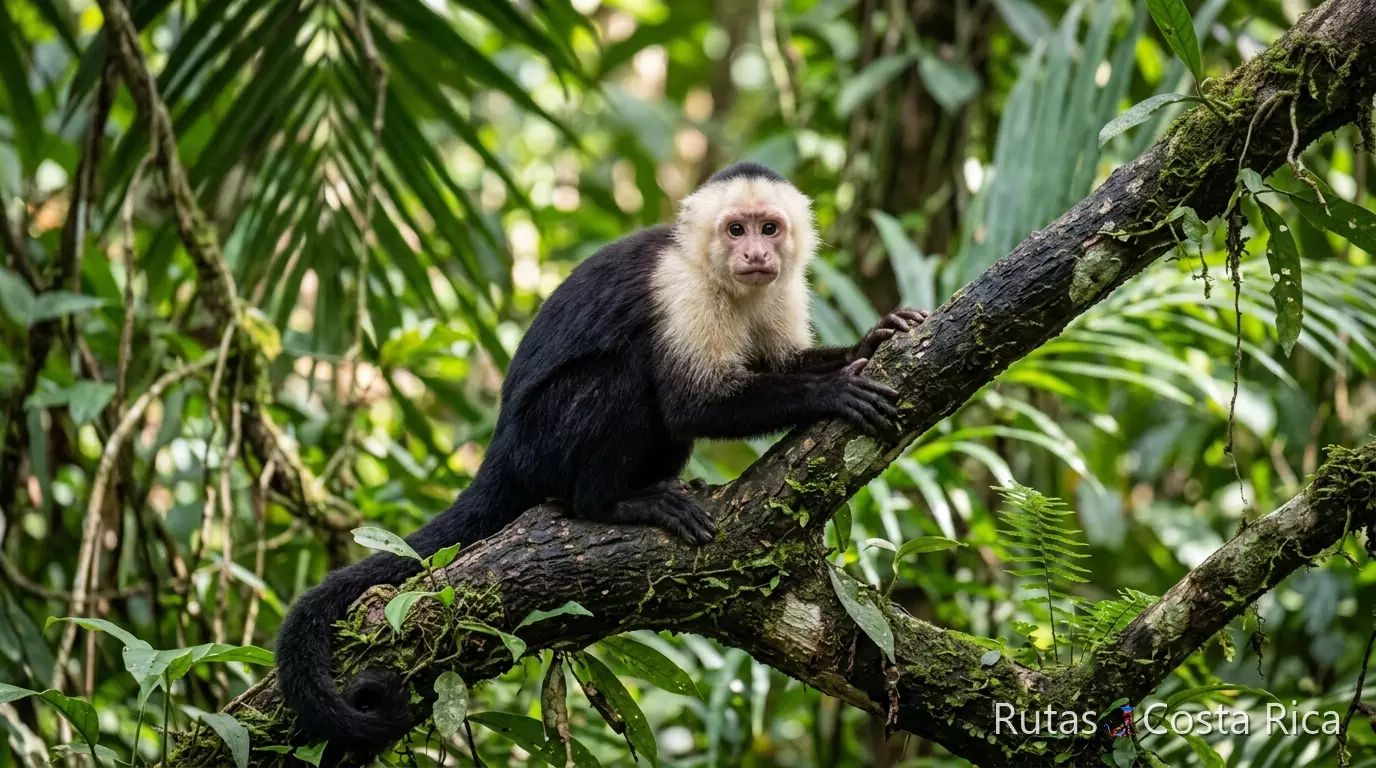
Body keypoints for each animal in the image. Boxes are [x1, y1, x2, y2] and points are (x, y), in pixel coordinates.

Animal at [275, 162, 929, 756]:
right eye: (735, 229)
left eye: (770, 228)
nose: (755, 254)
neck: (719, 276)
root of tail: (502, 451)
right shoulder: (680, 289)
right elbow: (693, 402)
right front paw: (832, 391)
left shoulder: (782, 287)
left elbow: (777, 363)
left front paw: (871, 339)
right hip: (541, 441)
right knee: (626, 375)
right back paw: (613, 502)